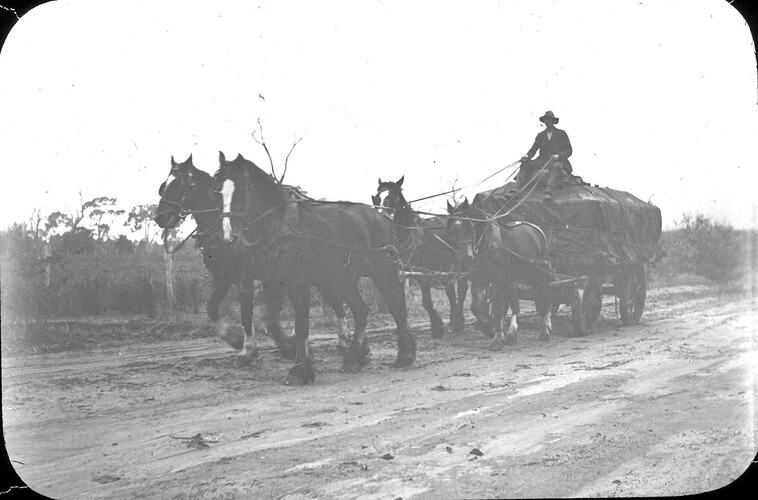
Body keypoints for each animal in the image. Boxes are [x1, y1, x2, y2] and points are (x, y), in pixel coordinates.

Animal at [154, 155, 350, 364]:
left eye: (180, 185)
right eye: (164, 185)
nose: (160, 217)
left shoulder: (246, 278)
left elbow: (246, 313)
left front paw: (248, 349)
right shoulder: (221, 278)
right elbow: (211, 308)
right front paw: (234, 339)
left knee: (336, 301)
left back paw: (342, 341)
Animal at [215, 152, 416, 382]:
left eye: (240, 189)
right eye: (219, 190)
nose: (228, 236)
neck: (280, 226)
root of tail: (383, 217)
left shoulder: (299, 282)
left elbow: (302, 325)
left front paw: (300, 370)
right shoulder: (273, 282)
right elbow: (271, 323)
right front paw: (290, 351)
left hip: (383, 271)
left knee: (396, 307)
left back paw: (403, 355)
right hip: (343, 279)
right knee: (361, 311)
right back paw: (354, 359)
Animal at [372, 176, 472, 336]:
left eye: (390, 197)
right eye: (376, 198)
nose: (380, 218)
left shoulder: (430, 271)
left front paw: (442, 326)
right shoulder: (415, 271)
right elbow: (424, 301)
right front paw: (437, 326)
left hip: (458, 262)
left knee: (461, 288)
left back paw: (458, 321)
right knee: (451, 291)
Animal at [448, 198, 556, 348]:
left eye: (469, 225)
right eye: (453, 229)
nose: (465, 258)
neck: (488, 245)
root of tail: (536, 229)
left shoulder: (497, 280)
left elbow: (498, 308)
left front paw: (497, 338)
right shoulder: (480, 279)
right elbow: (477, 307)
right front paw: (489, 329)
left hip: (539, 274)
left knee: (543, 297)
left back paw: (545, 330)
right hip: (513, 278)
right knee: (515, 301)